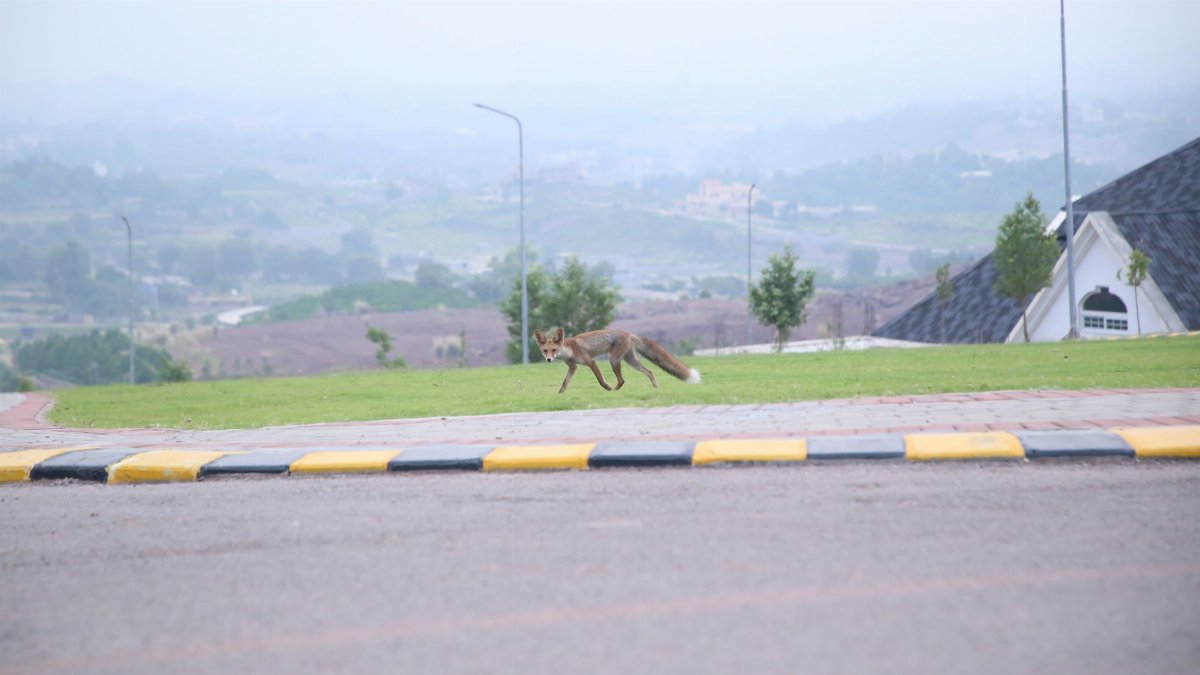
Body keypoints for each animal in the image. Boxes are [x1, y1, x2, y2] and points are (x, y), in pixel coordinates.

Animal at [533, 327, 701, 393]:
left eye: (554, 350)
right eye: (545, 351)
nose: (549, 359)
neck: (570, 350)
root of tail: (628, 333)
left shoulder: (590, 362)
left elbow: (600, 380)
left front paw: (607, 388)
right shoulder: (573, 367)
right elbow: (564, 383)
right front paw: (559, 395)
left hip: (613, 360)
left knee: (622, 380)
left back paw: (613, 391)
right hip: (631, 361)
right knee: (650, 372)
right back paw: (655, 388)